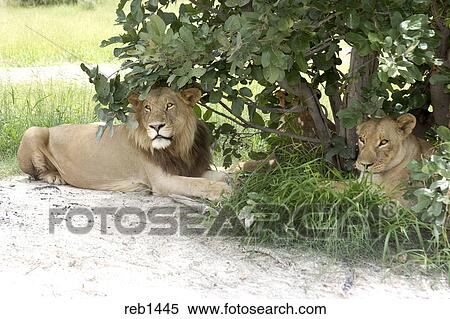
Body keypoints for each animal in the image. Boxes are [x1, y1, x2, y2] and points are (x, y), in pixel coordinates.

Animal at [17, 87, 230, 200]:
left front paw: (231, 182)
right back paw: (54, 176)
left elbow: (220, 175)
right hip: (33, 130)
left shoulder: (191, 168)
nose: (156, 126)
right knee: (35, 173)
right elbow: (199, 184)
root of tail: (54, 127)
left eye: (170, 105)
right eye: (147, 107)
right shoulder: (162, 181)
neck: (177, 147)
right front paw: (224, 191)